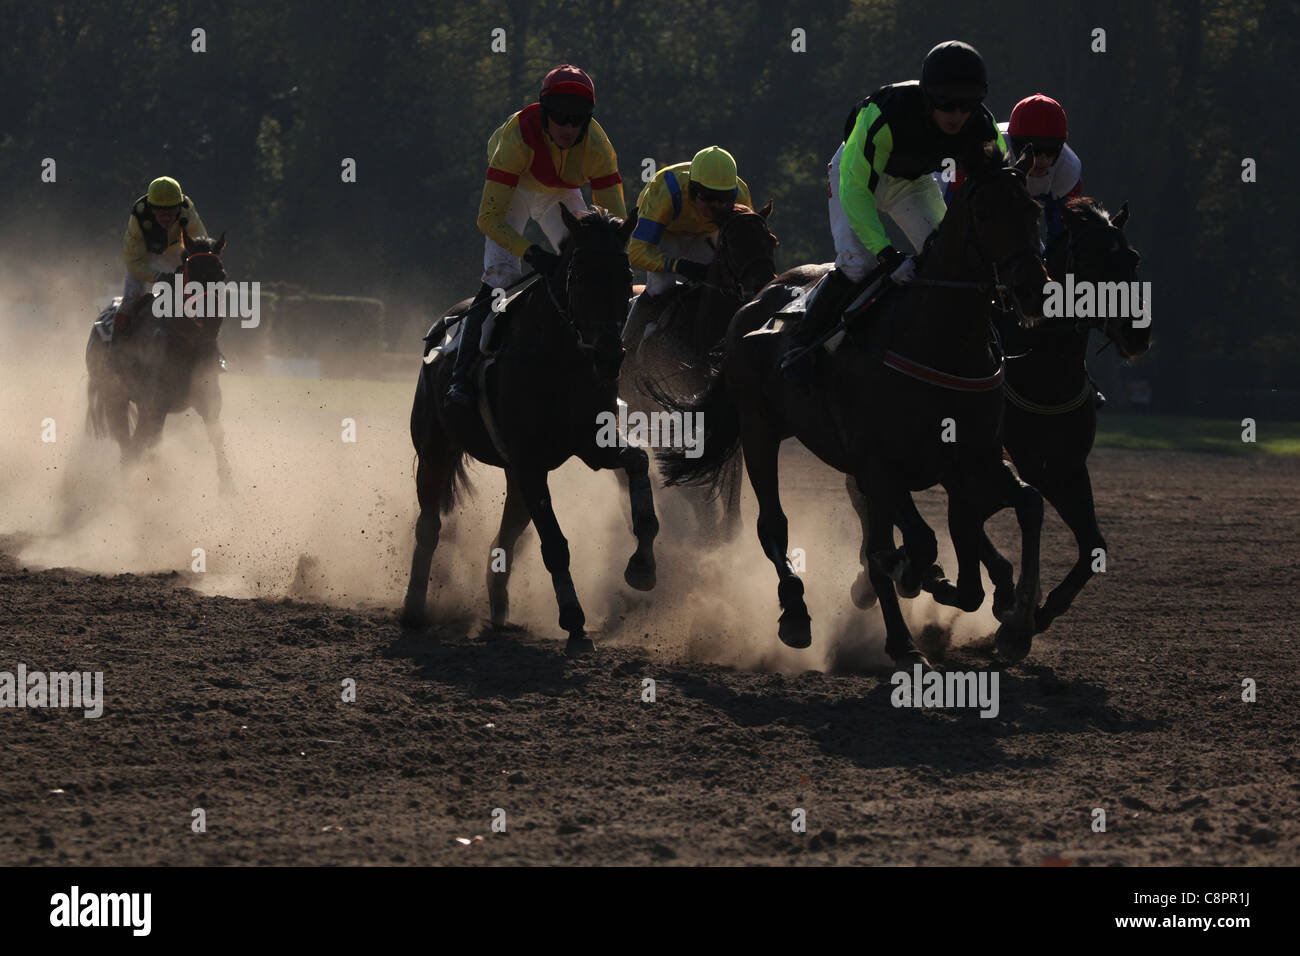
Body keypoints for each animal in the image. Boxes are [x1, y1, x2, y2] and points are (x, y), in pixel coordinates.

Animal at [400, 206, 655, 658]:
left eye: (626, 276)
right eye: (578, 275)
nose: (610, 356)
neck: (561, 359)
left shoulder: (592, 446)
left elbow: (639, 461)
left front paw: (642, 563)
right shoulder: (530, 462)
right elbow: (554, 543)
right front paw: (574, 624)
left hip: (512, 476)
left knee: (505, 535)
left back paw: (500, 612)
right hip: (435, 449)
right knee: (429, 524)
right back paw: (414, 609)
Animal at [660, 143, 1045, 665]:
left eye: (1034, 210)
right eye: (985, 212)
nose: (1032, 288)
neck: (937, 341)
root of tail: (754, 301)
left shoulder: (974, 458)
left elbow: (1024, 507)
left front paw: (1015, 623)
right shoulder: (879, 464)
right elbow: (915, 544)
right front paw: (911, 589)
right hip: (759, 429)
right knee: (773, 525)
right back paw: (803, 615)